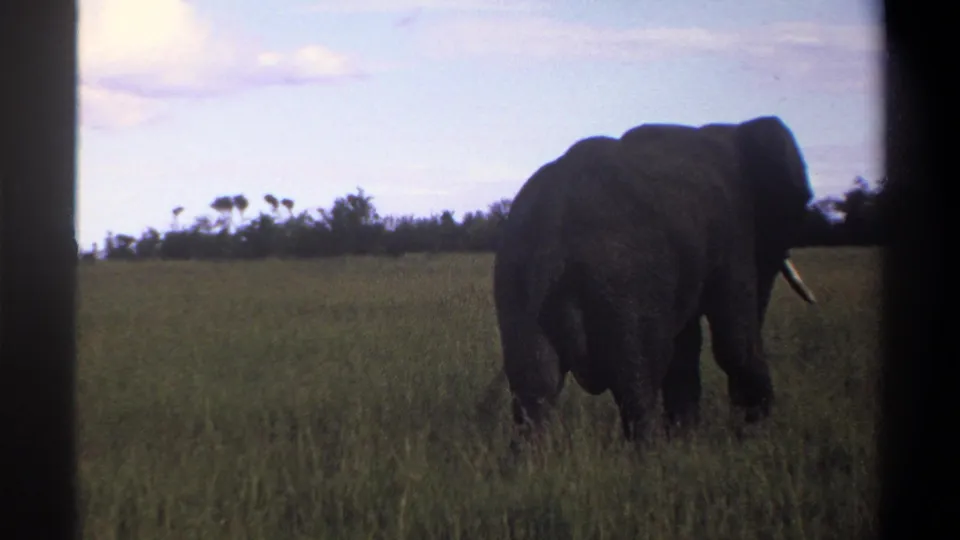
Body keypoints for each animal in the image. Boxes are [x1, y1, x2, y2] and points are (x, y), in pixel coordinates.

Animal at [491, 115, 817, 444]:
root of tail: (551, 228)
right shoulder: (734, 231)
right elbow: (734, 339)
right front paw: (752, 435)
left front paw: (689, 439)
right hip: (624, 283)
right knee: (638, 379)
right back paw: (652, 452)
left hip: (515, 283)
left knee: (535, 387)